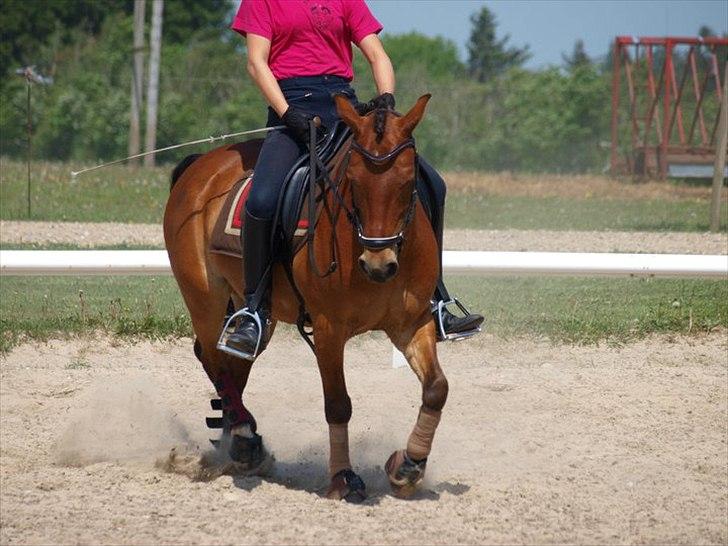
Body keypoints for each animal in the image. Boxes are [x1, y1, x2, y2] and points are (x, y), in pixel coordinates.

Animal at [164, 92, 446, 498]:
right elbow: (338, 404)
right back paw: (243, 437)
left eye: (409, 181)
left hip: (252, 310)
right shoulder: (329, 330)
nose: (379, 265)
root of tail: (202, 164)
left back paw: (239, 438)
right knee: (215, 360)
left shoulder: (412, 323)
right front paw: (343, 478)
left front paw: (408, 466)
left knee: (232, 359)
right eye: (353, 180)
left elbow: (436, 389)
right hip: (204, 297)